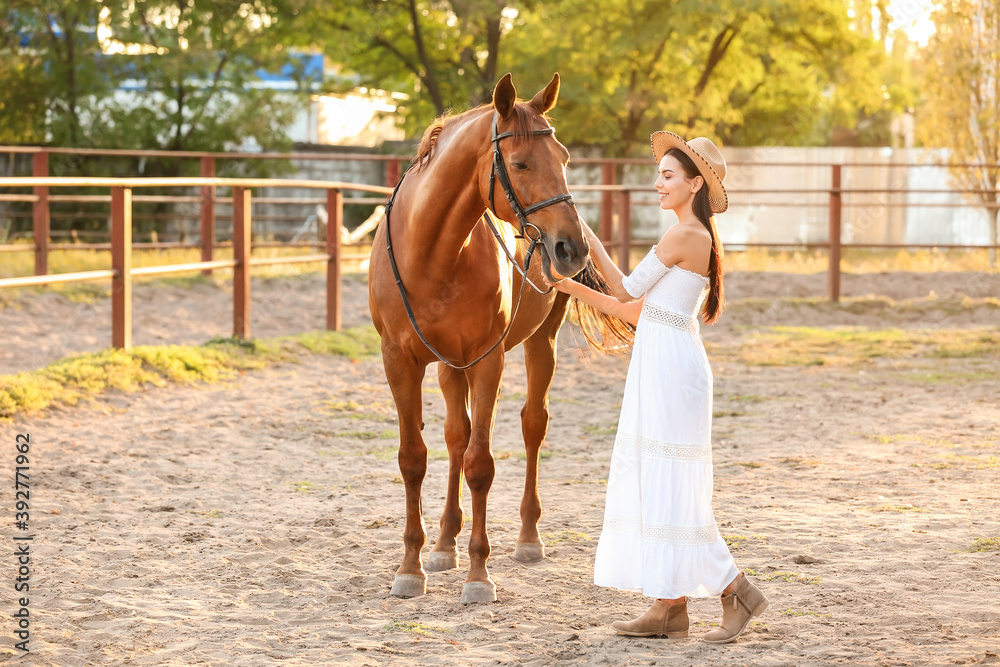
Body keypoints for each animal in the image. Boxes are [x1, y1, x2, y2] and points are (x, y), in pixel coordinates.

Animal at [368, 73, 588, 604]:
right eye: (521, 162)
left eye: (565, 158)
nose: (572, 248)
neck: (432, 252)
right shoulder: (399, 361)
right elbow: (414, 458)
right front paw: (411, 568)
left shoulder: (489, 360)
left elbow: (481, 464)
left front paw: (478, 575)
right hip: (452, 365)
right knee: (455, 435)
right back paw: (444, 543)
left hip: (539, 342)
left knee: (532, 425)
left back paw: (527, 538)